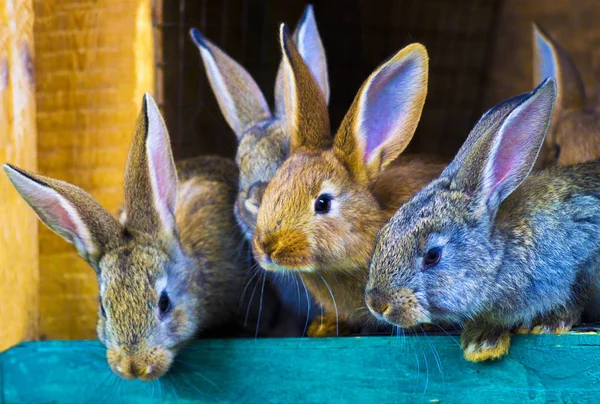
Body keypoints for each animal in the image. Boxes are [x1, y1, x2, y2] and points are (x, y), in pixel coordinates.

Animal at [366, 77, 600, 362]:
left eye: (433, 256)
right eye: (381, 238)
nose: (378, 304)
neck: (501, 259)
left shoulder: (584, 247)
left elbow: (576, 294)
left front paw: (548, 323)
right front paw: (480, 339)